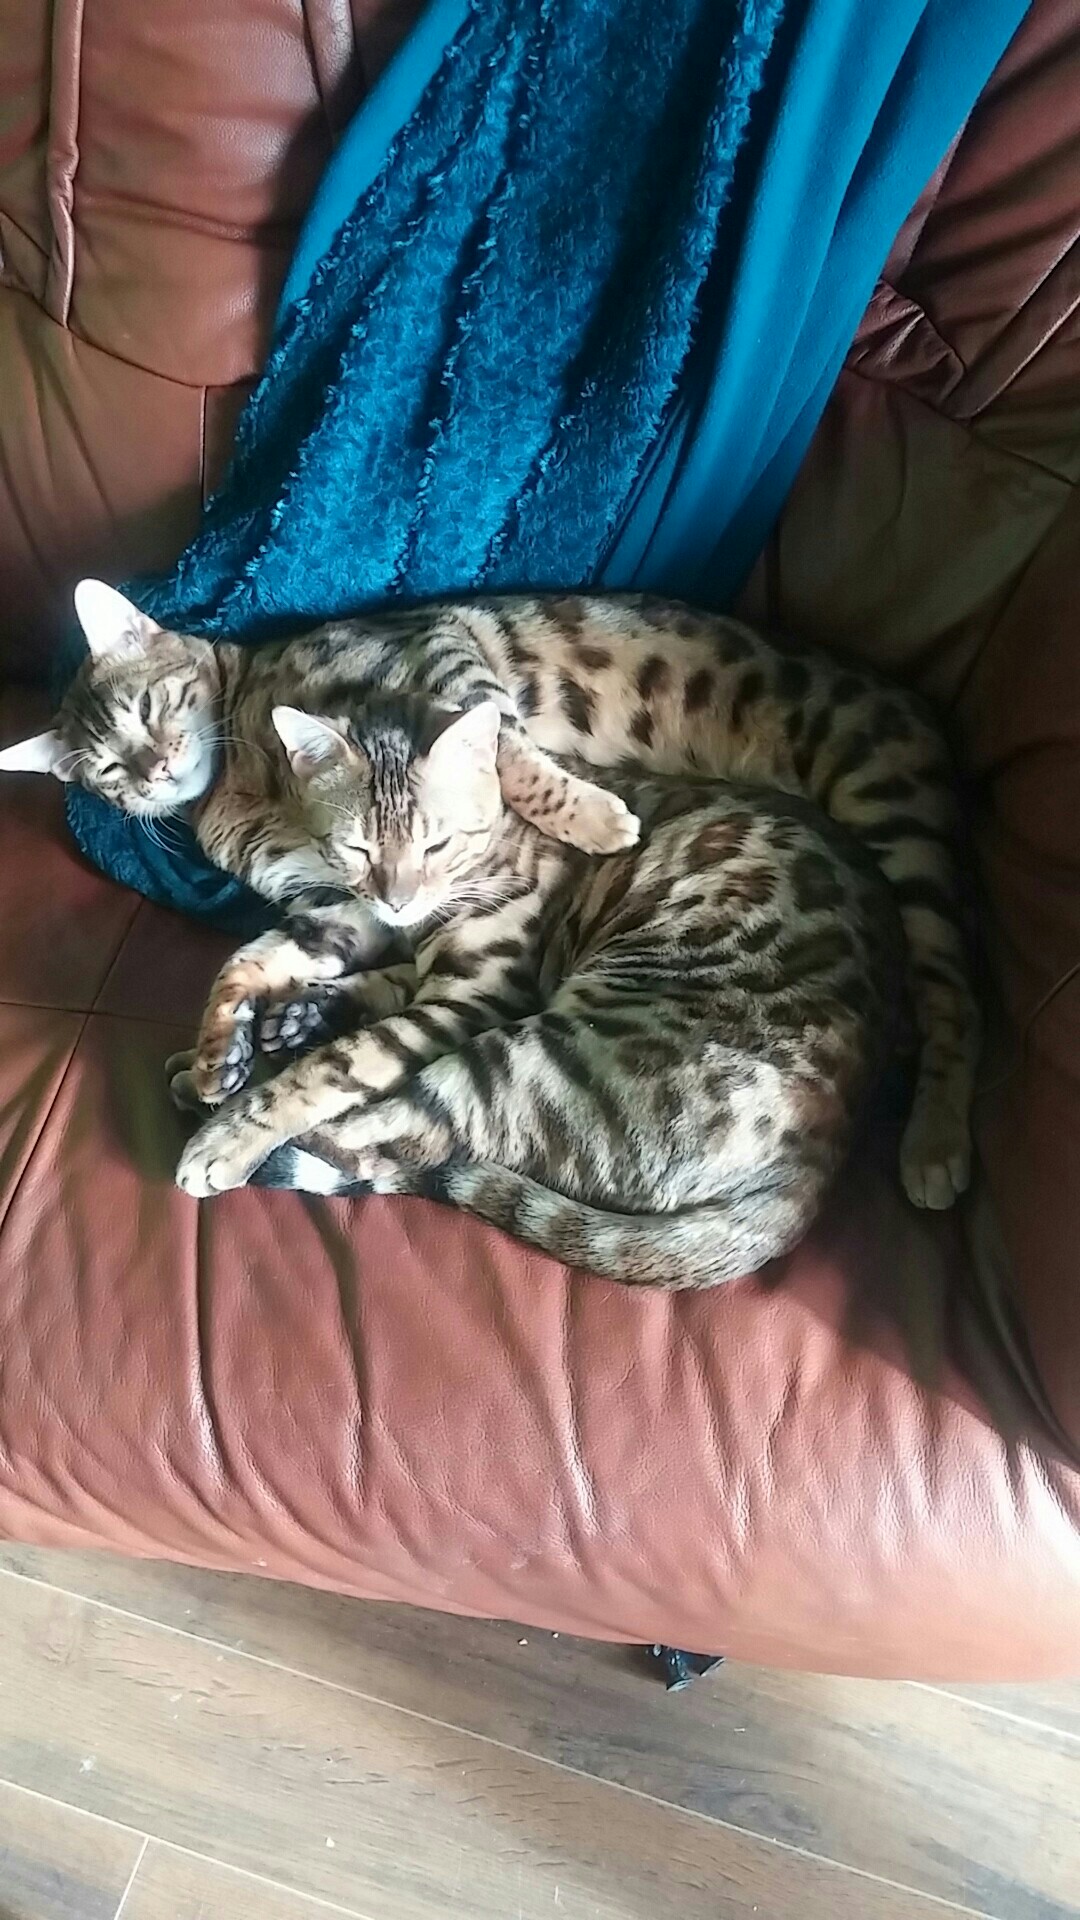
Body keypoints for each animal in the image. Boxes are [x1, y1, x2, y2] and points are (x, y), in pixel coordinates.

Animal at [0, 582, 977, 1207]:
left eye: (153, 708)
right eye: (106, 771)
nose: (153, 771)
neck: (247, 783)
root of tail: (920, 703)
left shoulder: (431, 658)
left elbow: (506, 743)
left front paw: (592, 817)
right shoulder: (344, 902)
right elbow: (247, 961)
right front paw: (219, 1050)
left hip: (897, 829)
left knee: (953, 999)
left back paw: (934, 1143)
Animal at [167, 692, 908, 1291]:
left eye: (436, 844)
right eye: (360, 849)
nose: (400, 897)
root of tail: (820, 1161)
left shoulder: (467, 996)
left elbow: (341, 1066)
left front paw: (238, 1124)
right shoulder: (368, 922)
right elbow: (260, 955)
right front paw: (221, 1048)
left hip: (529, 1053)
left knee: (402, 1138)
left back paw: (233, 1110)